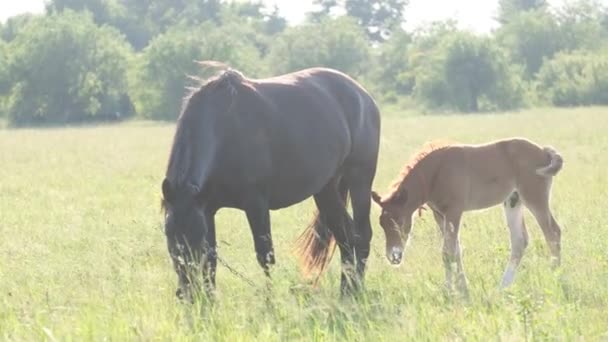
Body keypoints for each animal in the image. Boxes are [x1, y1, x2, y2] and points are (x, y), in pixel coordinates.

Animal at [162, 65, 380, 300]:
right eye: (168, 233)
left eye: (196, 236)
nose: (188, 292)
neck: (223, 130)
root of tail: (363, 96)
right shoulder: (207, 209)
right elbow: (211, 260)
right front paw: (210, 302)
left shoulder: (256, 204)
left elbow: (265, 257)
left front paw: (270, 302)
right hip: (326, 189)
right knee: (346, 238)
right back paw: (347, 293)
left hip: (360, 180)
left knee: (362, 235)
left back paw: (356, 292)